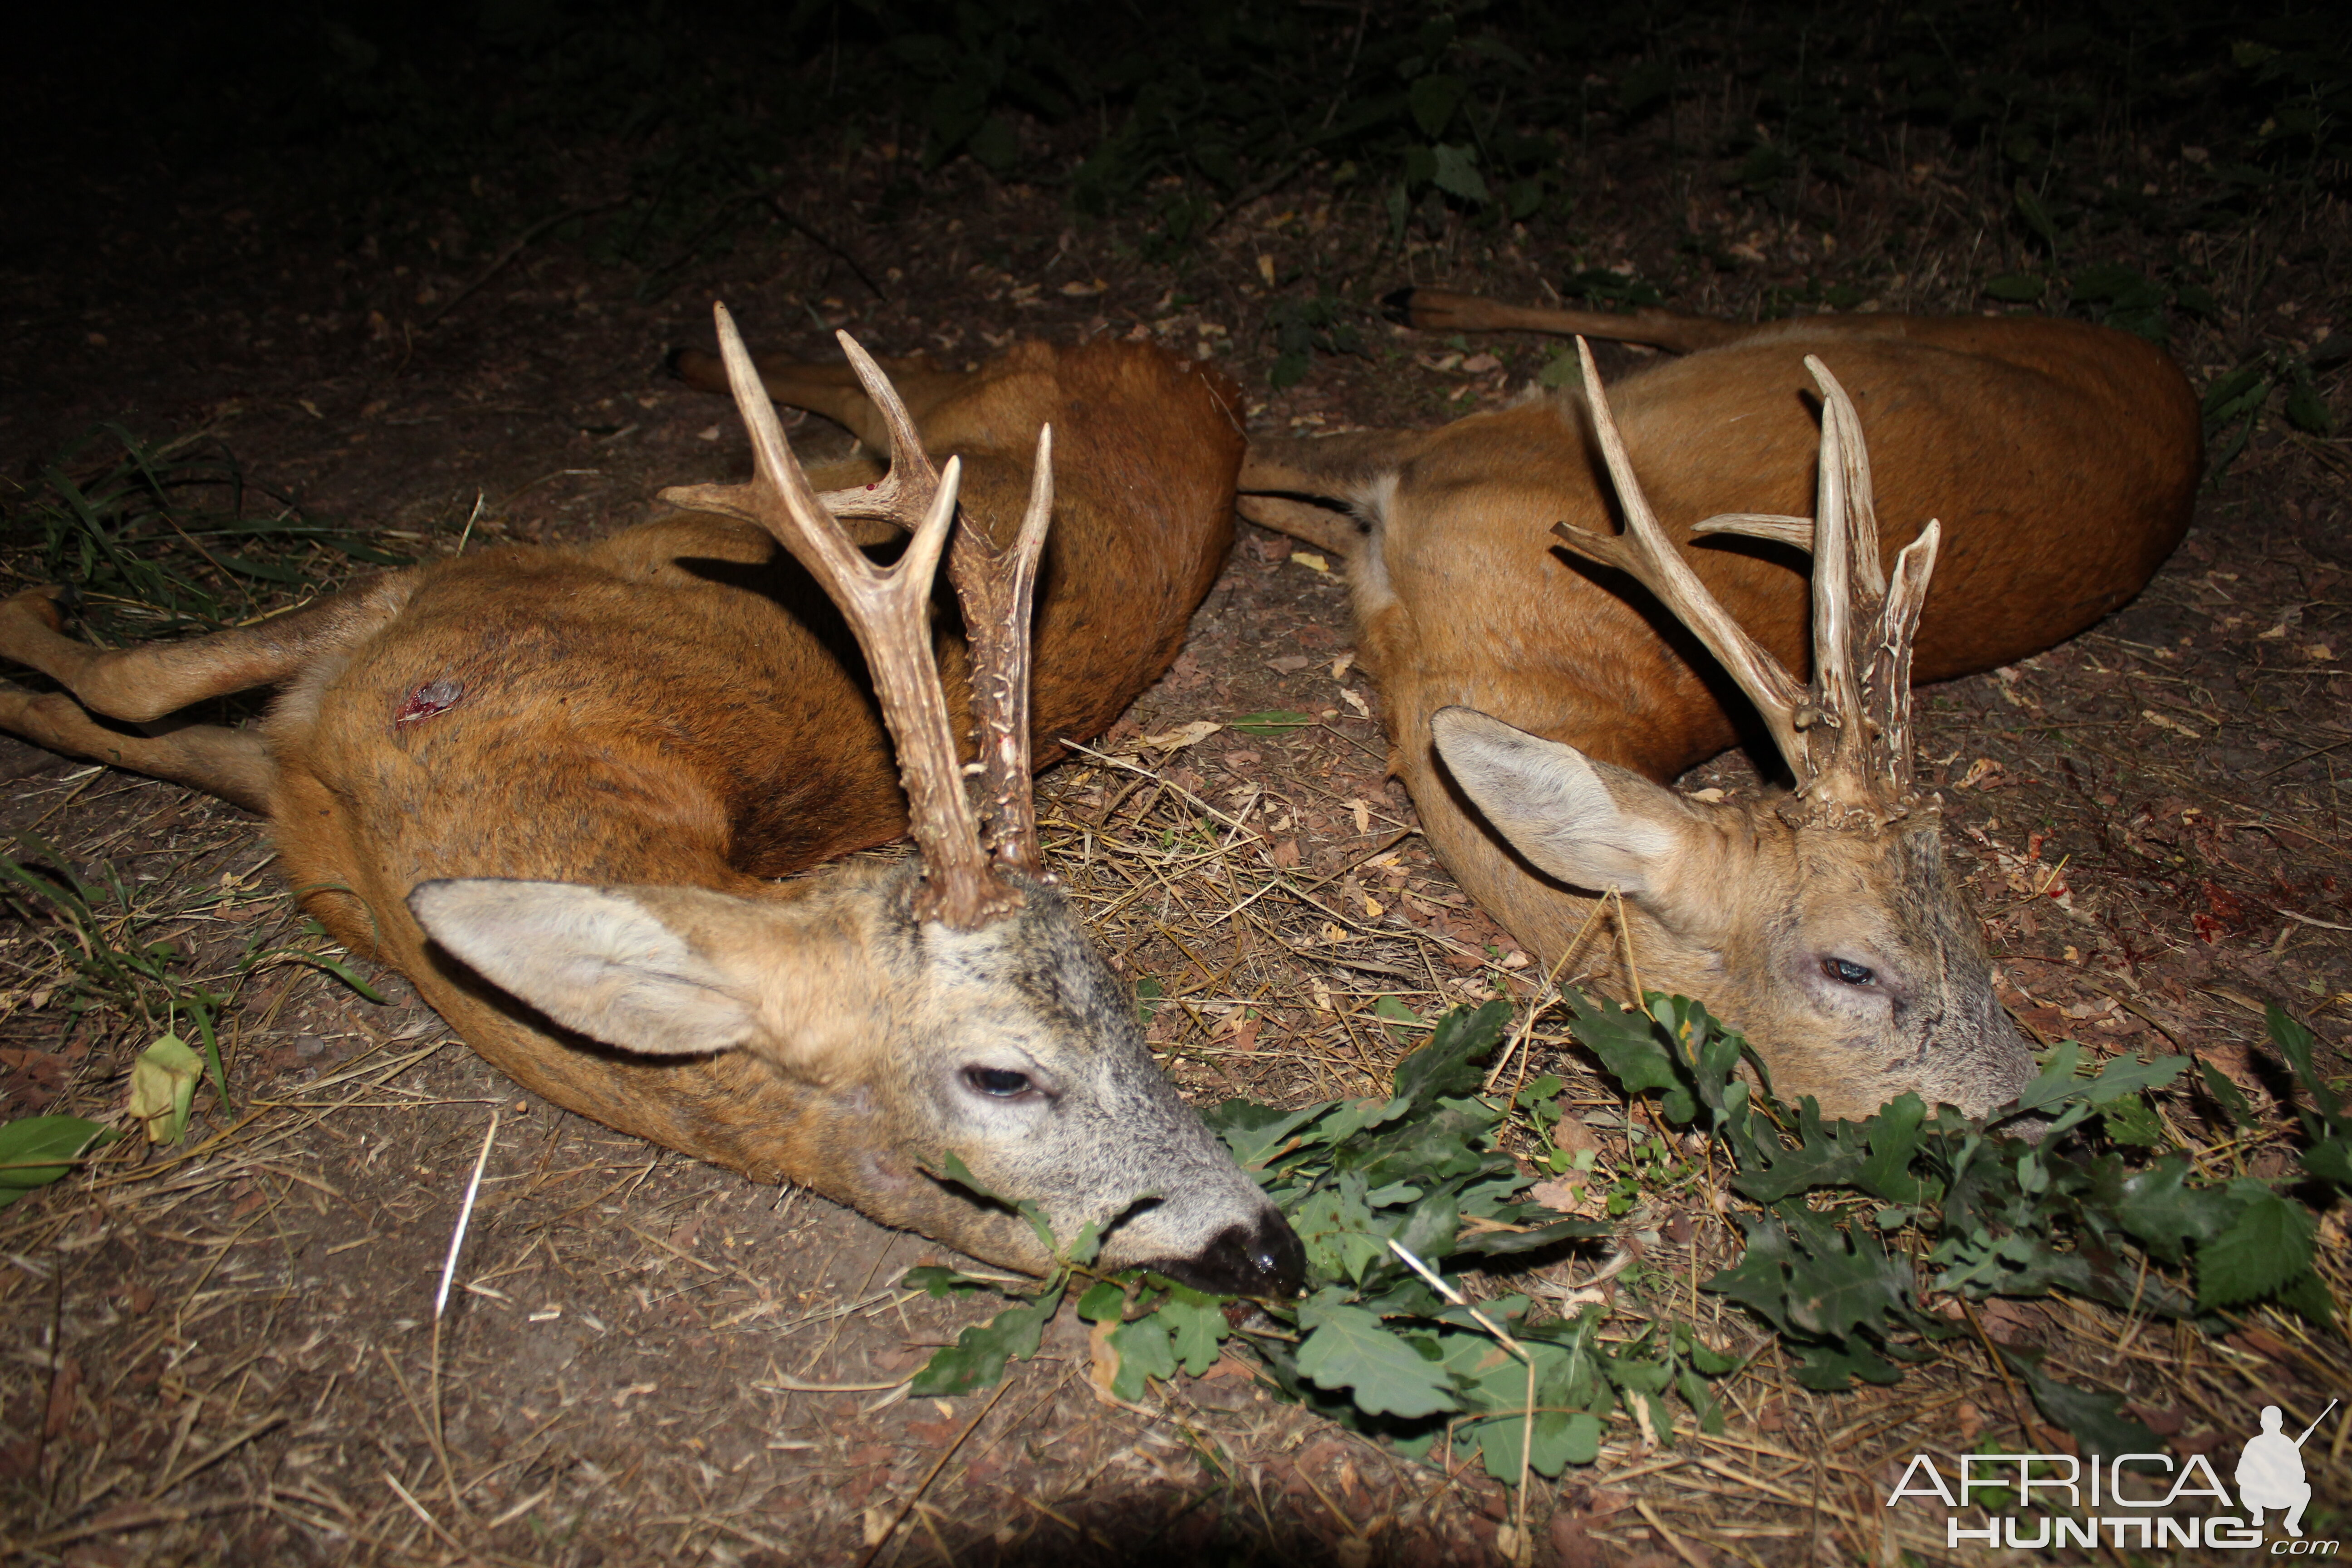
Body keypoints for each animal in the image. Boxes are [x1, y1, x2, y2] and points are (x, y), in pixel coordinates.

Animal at [0, 310, 1308, 1298]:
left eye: (1130, 1007)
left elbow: (127, 711)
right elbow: (129, 686)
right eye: (1005, 1076)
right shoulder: (431, 598)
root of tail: (1214, 385)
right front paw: (28, 610)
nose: (1272, 1250)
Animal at [1251, 291, 2201, 1114]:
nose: (2031, 1110)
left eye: (1976, 943)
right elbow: (1270, 459)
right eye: (1850, 967)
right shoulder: (1448, 461)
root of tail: (2165, 367)